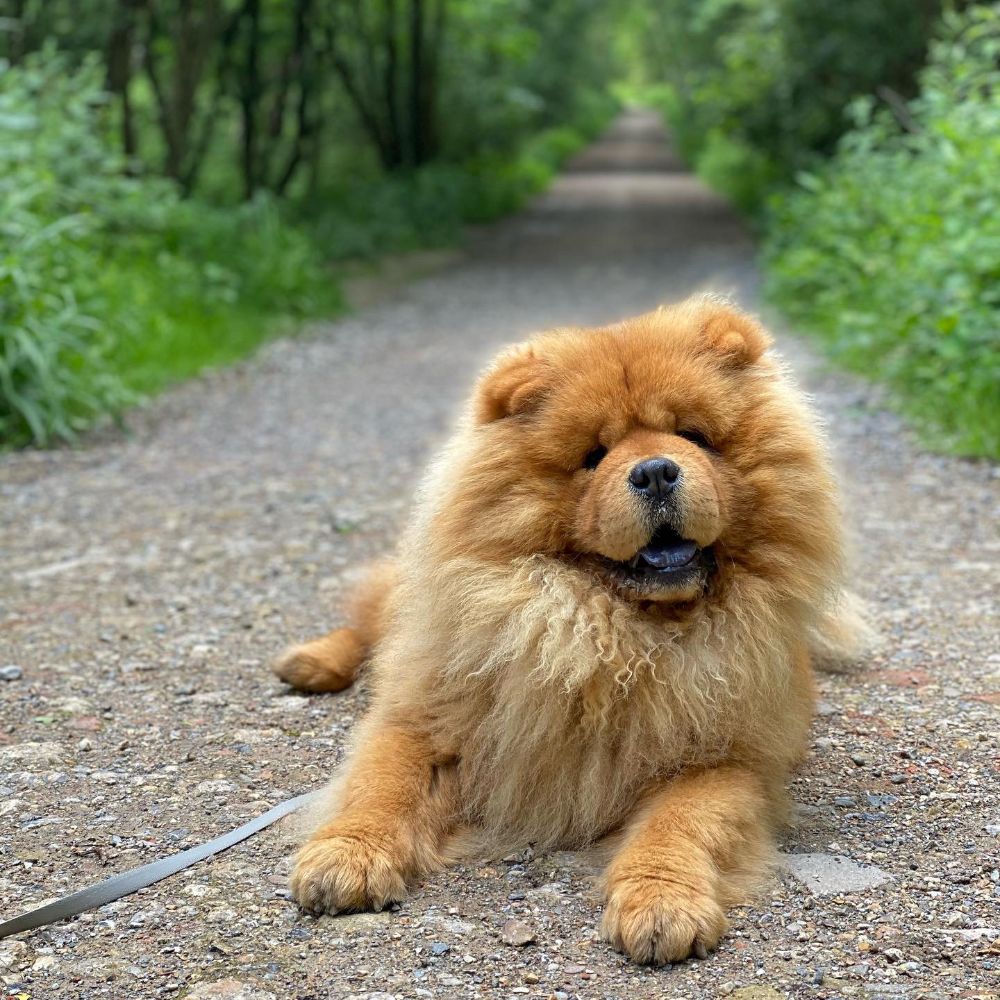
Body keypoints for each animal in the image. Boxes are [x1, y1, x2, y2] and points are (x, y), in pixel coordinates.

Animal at [272, 292, 860, 964]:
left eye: (693, 437)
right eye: (593, 457)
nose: (656, 471)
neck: (611, 640)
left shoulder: (728, 759)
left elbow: (682, 823)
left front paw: (661, 904)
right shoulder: (424, 716)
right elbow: (381, 784)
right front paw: (345, 858)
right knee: (365, 625)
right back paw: (309, 663)